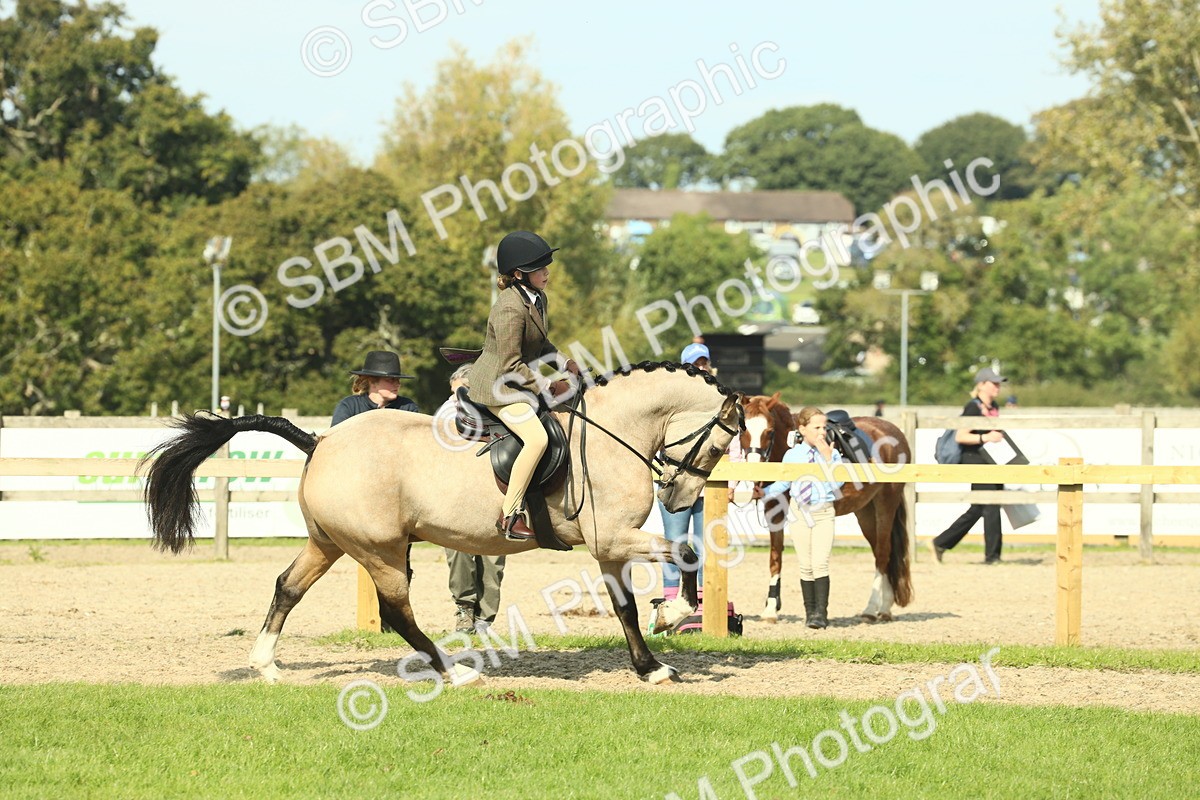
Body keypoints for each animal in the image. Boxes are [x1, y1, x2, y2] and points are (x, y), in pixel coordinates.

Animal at [141, 362, 741, 686]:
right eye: (720, 442)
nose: (680, 496)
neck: (610, 431)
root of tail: (322, 440)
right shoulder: (611, 537)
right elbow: (685, 554)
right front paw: (676, 615)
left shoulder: (610, 546)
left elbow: (625, 608)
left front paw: (651, 664)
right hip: (380, 549)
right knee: (396, 610)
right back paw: (453, 671)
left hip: (328, 542)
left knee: (287, 586)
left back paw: (265, 665)